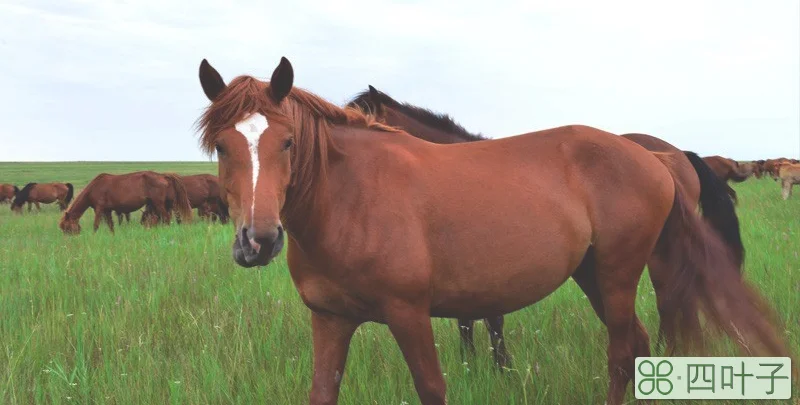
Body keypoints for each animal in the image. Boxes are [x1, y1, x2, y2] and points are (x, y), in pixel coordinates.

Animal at [59, 170, 194, 234]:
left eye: (67, 227)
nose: (69, 241)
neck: (94, 188)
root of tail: (163, 176)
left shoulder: (99, 209)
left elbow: (96, 225)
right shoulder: (107, 211)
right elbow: (111, 226)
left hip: (159, 204)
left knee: (166, 219)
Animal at [346, 85, 748, 366]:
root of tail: (672, 155)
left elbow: (491, 319)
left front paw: (501, 367)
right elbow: (465, 320)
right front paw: (469, 365)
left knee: (671, 297)